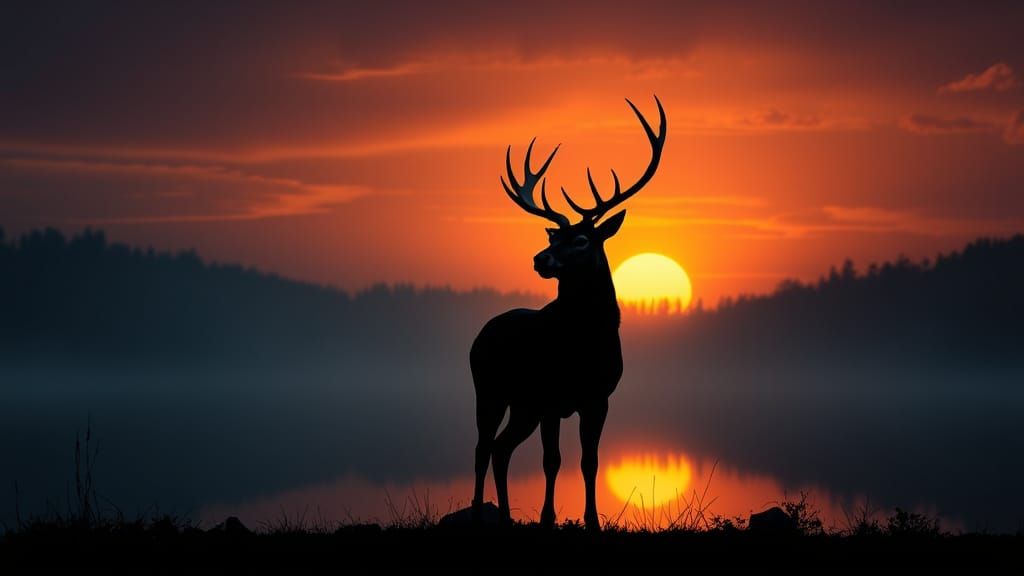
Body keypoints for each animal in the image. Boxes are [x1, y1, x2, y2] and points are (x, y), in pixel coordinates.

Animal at [470, 96, 666, 530]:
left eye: (580, 239)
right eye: (553, 236)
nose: (540, 258)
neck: (584, 346)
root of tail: (480, 334)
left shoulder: (598, 398)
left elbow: (589, 462)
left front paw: (592, 521)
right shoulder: (550, 397)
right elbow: (552, 461)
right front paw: (547, 519)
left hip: (521, 405)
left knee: (501, 448)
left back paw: (505, 517)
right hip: (488, 390)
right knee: (482, 447)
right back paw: (476, 513)